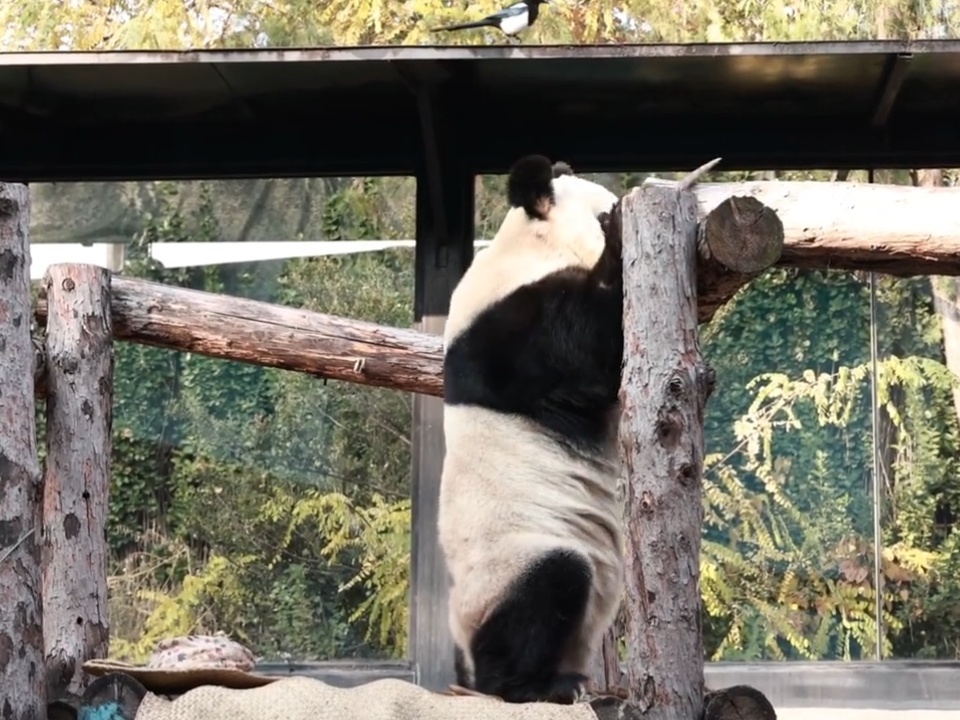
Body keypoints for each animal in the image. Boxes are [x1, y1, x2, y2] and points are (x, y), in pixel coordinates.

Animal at [438, 155, 628, 704]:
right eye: (604, 210)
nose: (617, 210)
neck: (527, 246)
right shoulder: (513, 331)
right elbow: (593, 346)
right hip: (512, 559)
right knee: (550, 585)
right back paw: (538, 686)